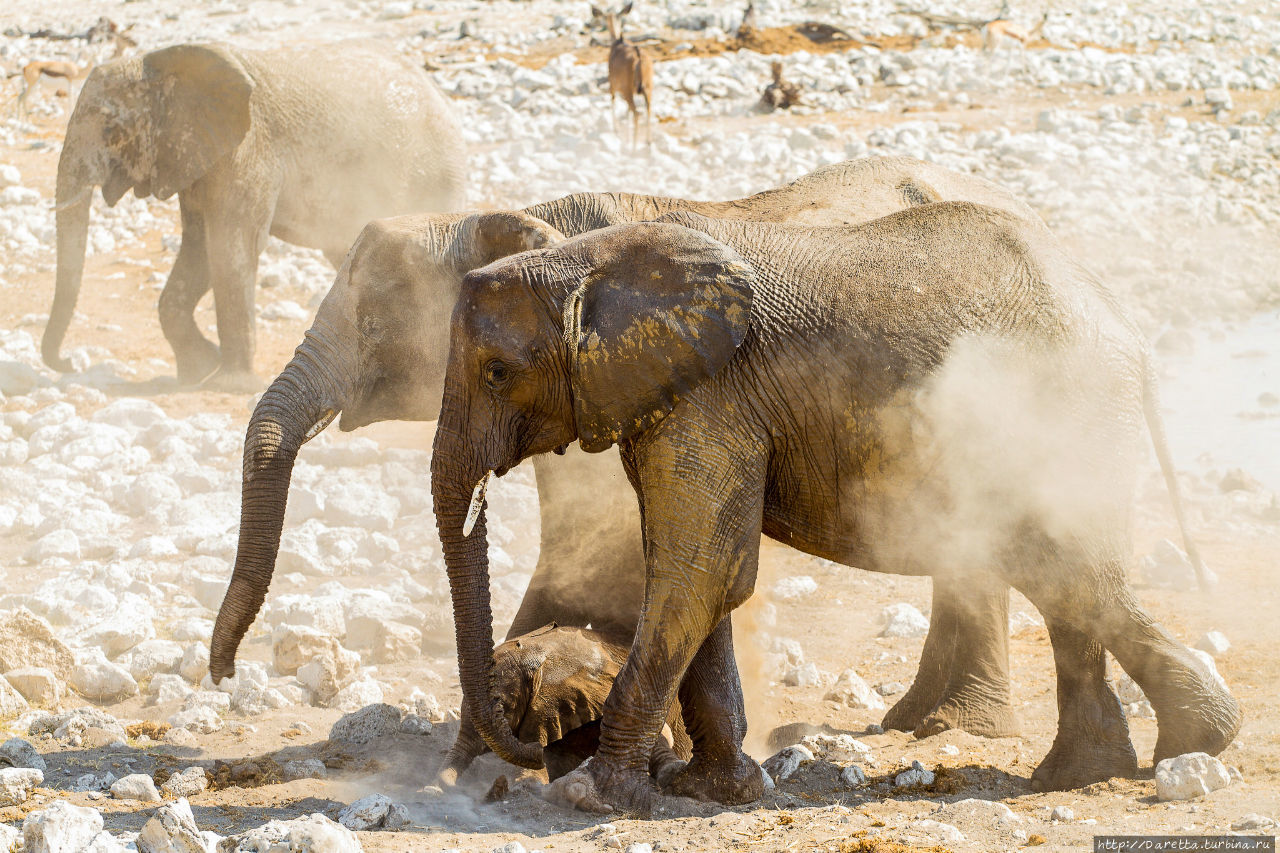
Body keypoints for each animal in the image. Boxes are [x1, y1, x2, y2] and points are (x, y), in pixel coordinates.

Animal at [42, 39, 468, 384]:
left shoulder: (249, 150)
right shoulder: (195, 154)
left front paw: (229, 383)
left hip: (432, 175)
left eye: (112, 130)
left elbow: (231, 247)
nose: (68, 363)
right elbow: (199, 247)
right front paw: (198, 370)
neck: (158, 61)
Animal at [427, 206, 1239, 809]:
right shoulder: (672, 399)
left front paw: (593, 797)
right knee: (1065, 577)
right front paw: (713, 790)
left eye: (496, 373)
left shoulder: (711, 396)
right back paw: (1083, 773)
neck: (587, 259)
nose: (535, 750)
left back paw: (1199, 742)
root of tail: (1126, 326)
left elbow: (696, 571)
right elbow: (701, 572)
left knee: (1067, 567)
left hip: (1067, 409)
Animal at [588, 3, 650, 150]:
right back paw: (648, 142)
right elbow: (626, 112)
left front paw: (616, 130)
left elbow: (612, 101)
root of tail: (638, 58)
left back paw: (633, 148)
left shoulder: (612, 83)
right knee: (648, 109)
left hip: (627, 89)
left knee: (636, 113)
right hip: (648, 86)